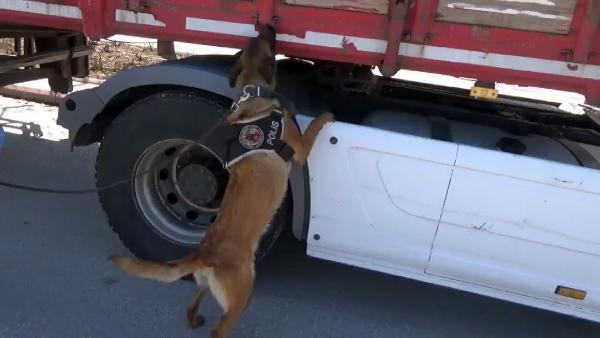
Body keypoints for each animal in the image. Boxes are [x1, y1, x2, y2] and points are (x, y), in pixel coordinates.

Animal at [108, 24, 332, 338]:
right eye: (269, 42)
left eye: (257, 39)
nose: (268, 25)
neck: (252, 94)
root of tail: (204, 254)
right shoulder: (299, 148)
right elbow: (313, 126)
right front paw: (326, 114)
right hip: (243, 293)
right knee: (219, 329)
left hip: (207, 285)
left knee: (193, 303)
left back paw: (194, 319)